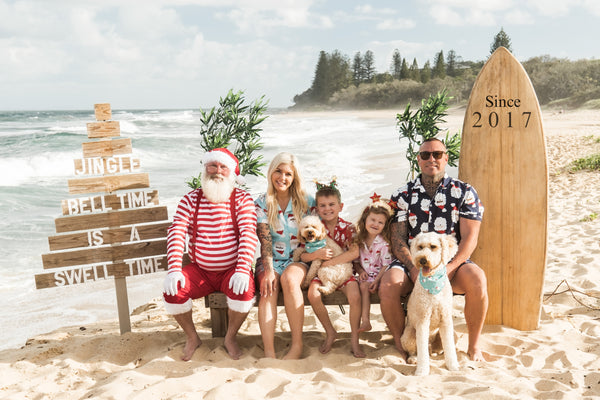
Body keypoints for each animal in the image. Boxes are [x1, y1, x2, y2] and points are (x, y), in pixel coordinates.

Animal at [404, 231, 460, 376]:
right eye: (420, 247)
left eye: (433, 246)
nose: (422, 260)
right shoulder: (423, 320)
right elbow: (421, 349)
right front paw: (422, 371)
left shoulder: (446, 319)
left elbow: (449, 347)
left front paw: (453, 366)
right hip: (408, 334)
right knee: (415, 350)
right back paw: (413, 359)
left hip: (453, 334)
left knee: (436, 349)